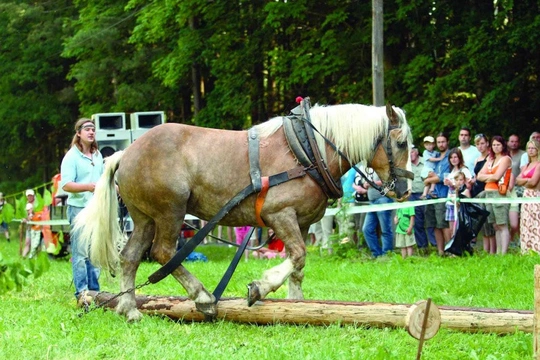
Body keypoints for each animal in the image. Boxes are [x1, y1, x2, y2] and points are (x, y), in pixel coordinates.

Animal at [75, 100, 414, 320]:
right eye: (400, 143)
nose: (406, 190)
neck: (307, 151)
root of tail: (125, 152)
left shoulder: (303, 221)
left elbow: (299, 265)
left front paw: (297, 305)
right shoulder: (280, 214)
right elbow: (298, 255)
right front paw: (260, 287)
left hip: (145, 217)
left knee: (130, 257)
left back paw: (130, 308)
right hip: (170, 211)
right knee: (164, 252)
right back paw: (203, 296)